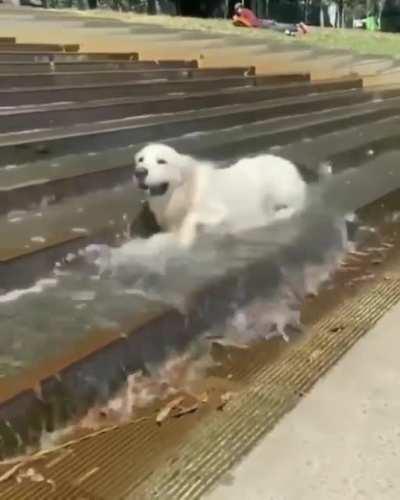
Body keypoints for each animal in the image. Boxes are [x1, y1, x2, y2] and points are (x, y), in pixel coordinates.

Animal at [134, 143, 306, 248]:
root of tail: (291, 165)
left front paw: (186, 237)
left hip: (277, 187)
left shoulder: (219, 209)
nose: (139, 172)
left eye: (161, 161)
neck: (184, 192)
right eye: (141, 159)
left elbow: (195, 217)